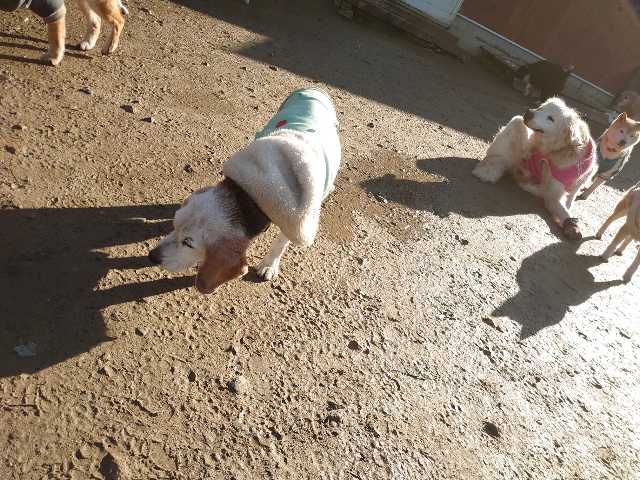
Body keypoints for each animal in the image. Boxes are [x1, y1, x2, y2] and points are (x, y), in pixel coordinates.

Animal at [149, 87, 341, 294]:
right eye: (174, 226)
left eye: (189, 243)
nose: (152, 256)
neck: (248, 197)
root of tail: (314, 89)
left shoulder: (297, 218)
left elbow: (281, 242)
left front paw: (269, 264)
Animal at [473, 97, 596, 241]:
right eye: (541, 109)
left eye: (551, 118)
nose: (529, 112)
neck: (571, 153)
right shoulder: (553, 192)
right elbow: (562, 209)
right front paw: (571, 225)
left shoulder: (579, 181)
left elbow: (569, 201)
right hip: (516, 126)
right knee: (499, 159)